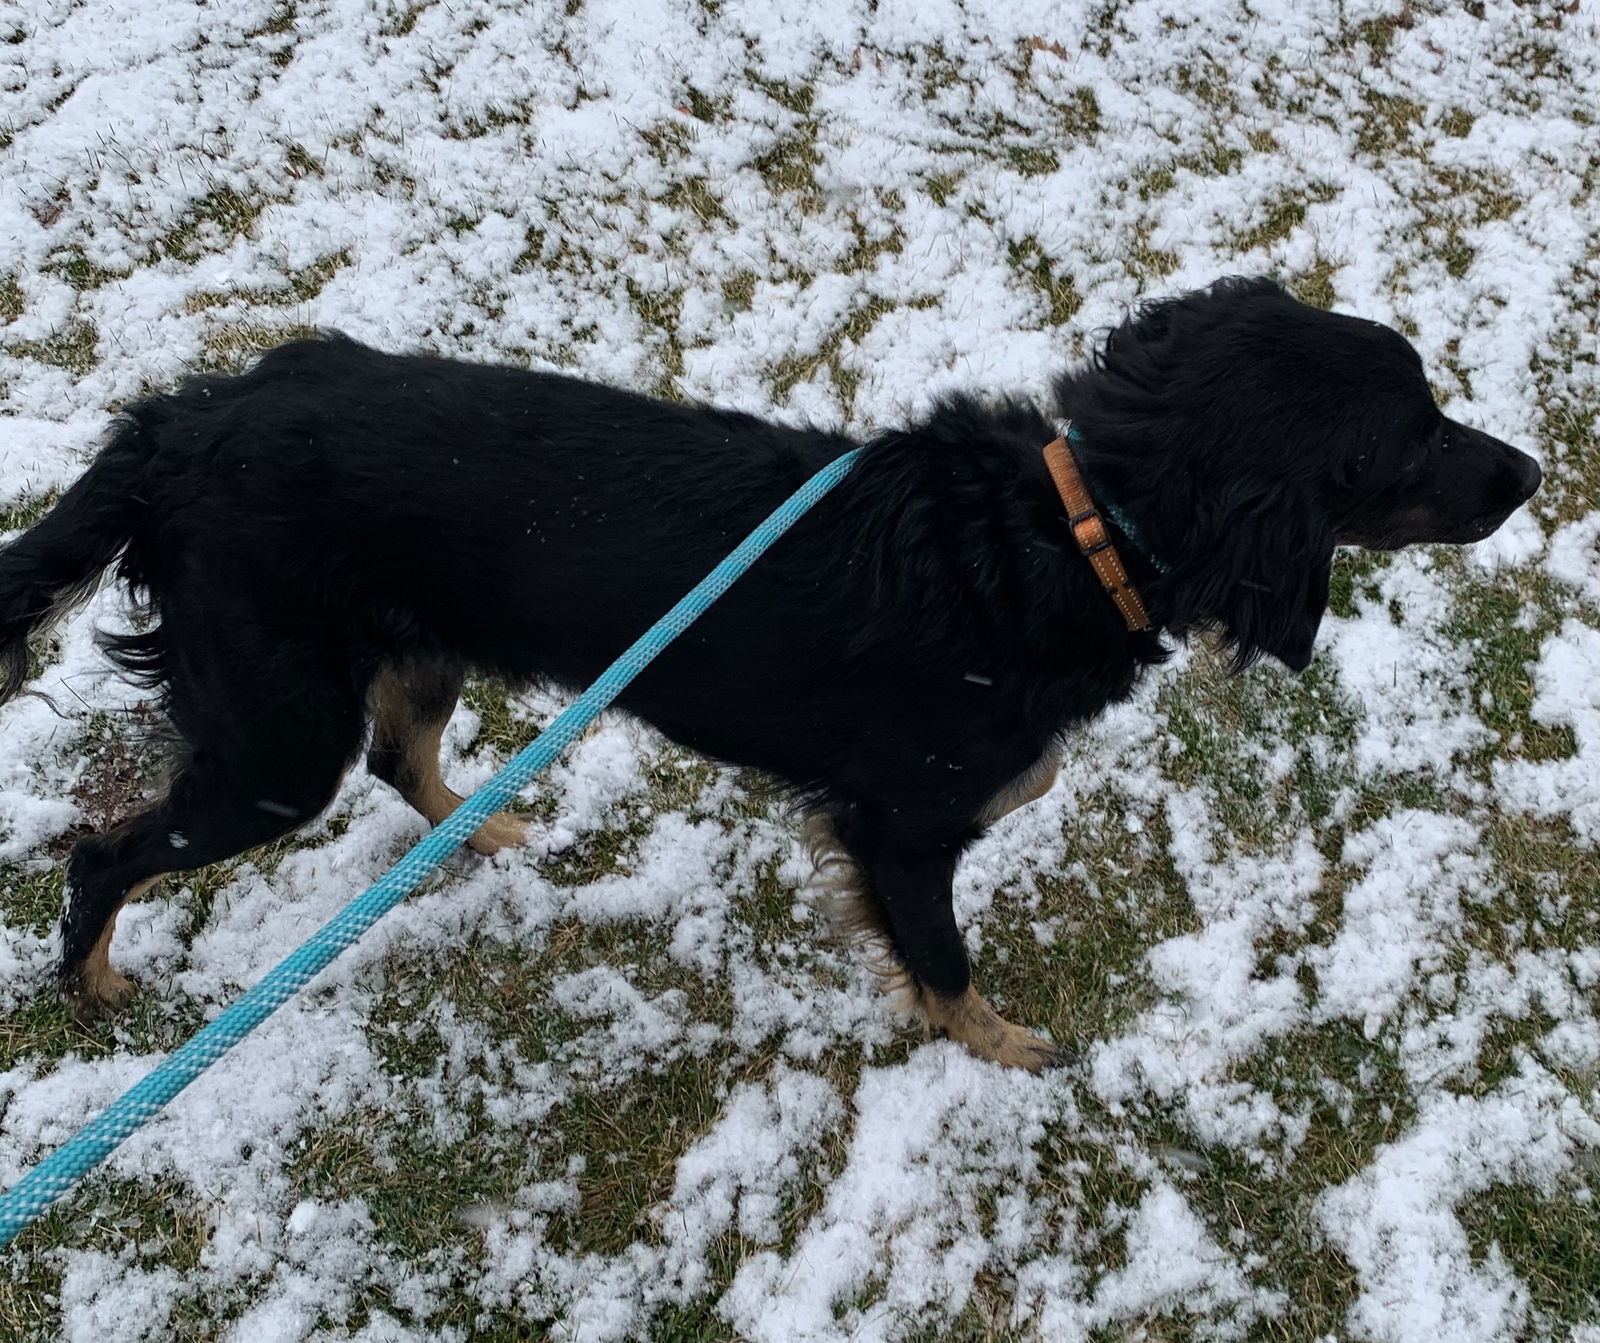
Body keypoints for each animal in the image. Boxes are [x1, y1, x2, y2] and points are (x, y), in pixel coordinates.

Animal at [0, 278, 1536, 1069]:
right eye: (1413, 438)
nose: (1529, 472)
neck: (1067, 527)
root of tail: (182, 425)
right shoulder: (900, 826)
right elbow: (943, 957)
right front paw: (1005, 1048)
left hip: (401, 659)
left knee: (401, 756)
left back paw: (488, 827)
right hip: (272, 747)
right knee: (102, 852)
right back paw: (98, 990)